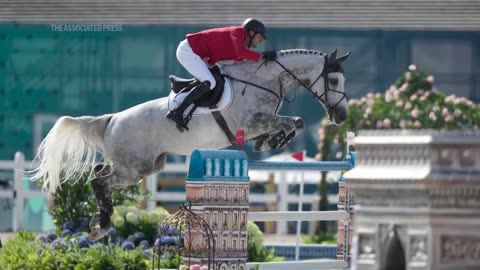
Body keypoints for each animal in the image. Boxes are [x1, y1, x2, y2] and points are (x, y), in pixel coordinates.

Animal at [31, 48, 350, 238]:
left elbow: (292, 123)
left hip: (146, 167)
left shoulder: (259, 122)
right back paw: (105, 221)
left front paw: (270, 141)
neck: (267, 80)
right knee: (99, 180)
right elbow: (295, 121)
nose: (342, 116)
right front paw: (276, 138)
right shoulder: (253, 122)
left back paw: (99, 222)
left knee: (99, 174)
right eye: (333, 80)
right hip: (134, 168)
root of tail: (111, 119)